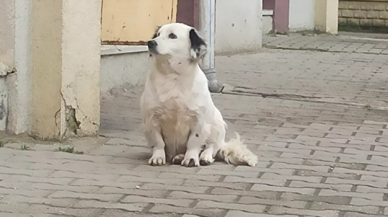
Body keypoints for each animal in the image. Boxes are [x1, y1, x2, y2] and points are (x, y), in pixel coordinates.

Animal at [139, 22, 258, 167]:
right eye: (157, 34)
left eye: (172, 36)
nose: (150, 42)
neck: (174, 77)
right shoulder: (151, 119)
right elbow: (158, 142)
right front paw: (158, 157)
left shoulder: (198, 120)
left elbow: (194, 143)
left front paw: (191, 158)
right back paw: (179, 156)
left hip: (217, 124)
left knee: (211, 147)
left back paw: (204, 157)